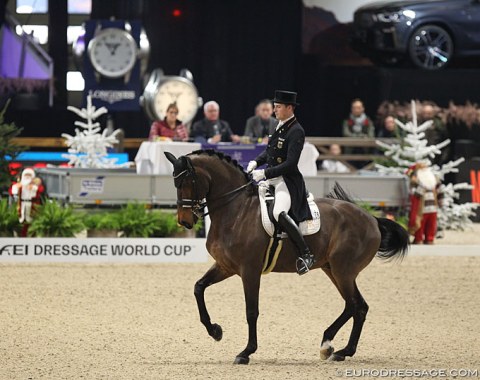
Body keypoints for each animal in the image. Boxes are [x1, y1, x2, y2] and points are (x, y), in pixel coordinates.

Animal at [165, 149, 408, 366]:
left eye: (187, 181)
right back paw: (334, 348)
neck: (236, 210)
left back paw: (338, 348)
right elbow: (198, 288)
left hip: (343, 271)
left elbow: (251, 311)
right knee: (355, 306)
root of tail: (372, 219)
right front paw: (215, 331)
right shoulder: (225, 266)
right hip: (333, 270)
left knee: (356, 305)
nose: (184, 221)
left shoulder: (249, 271)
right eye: (175, 183)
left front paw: (246, 352)